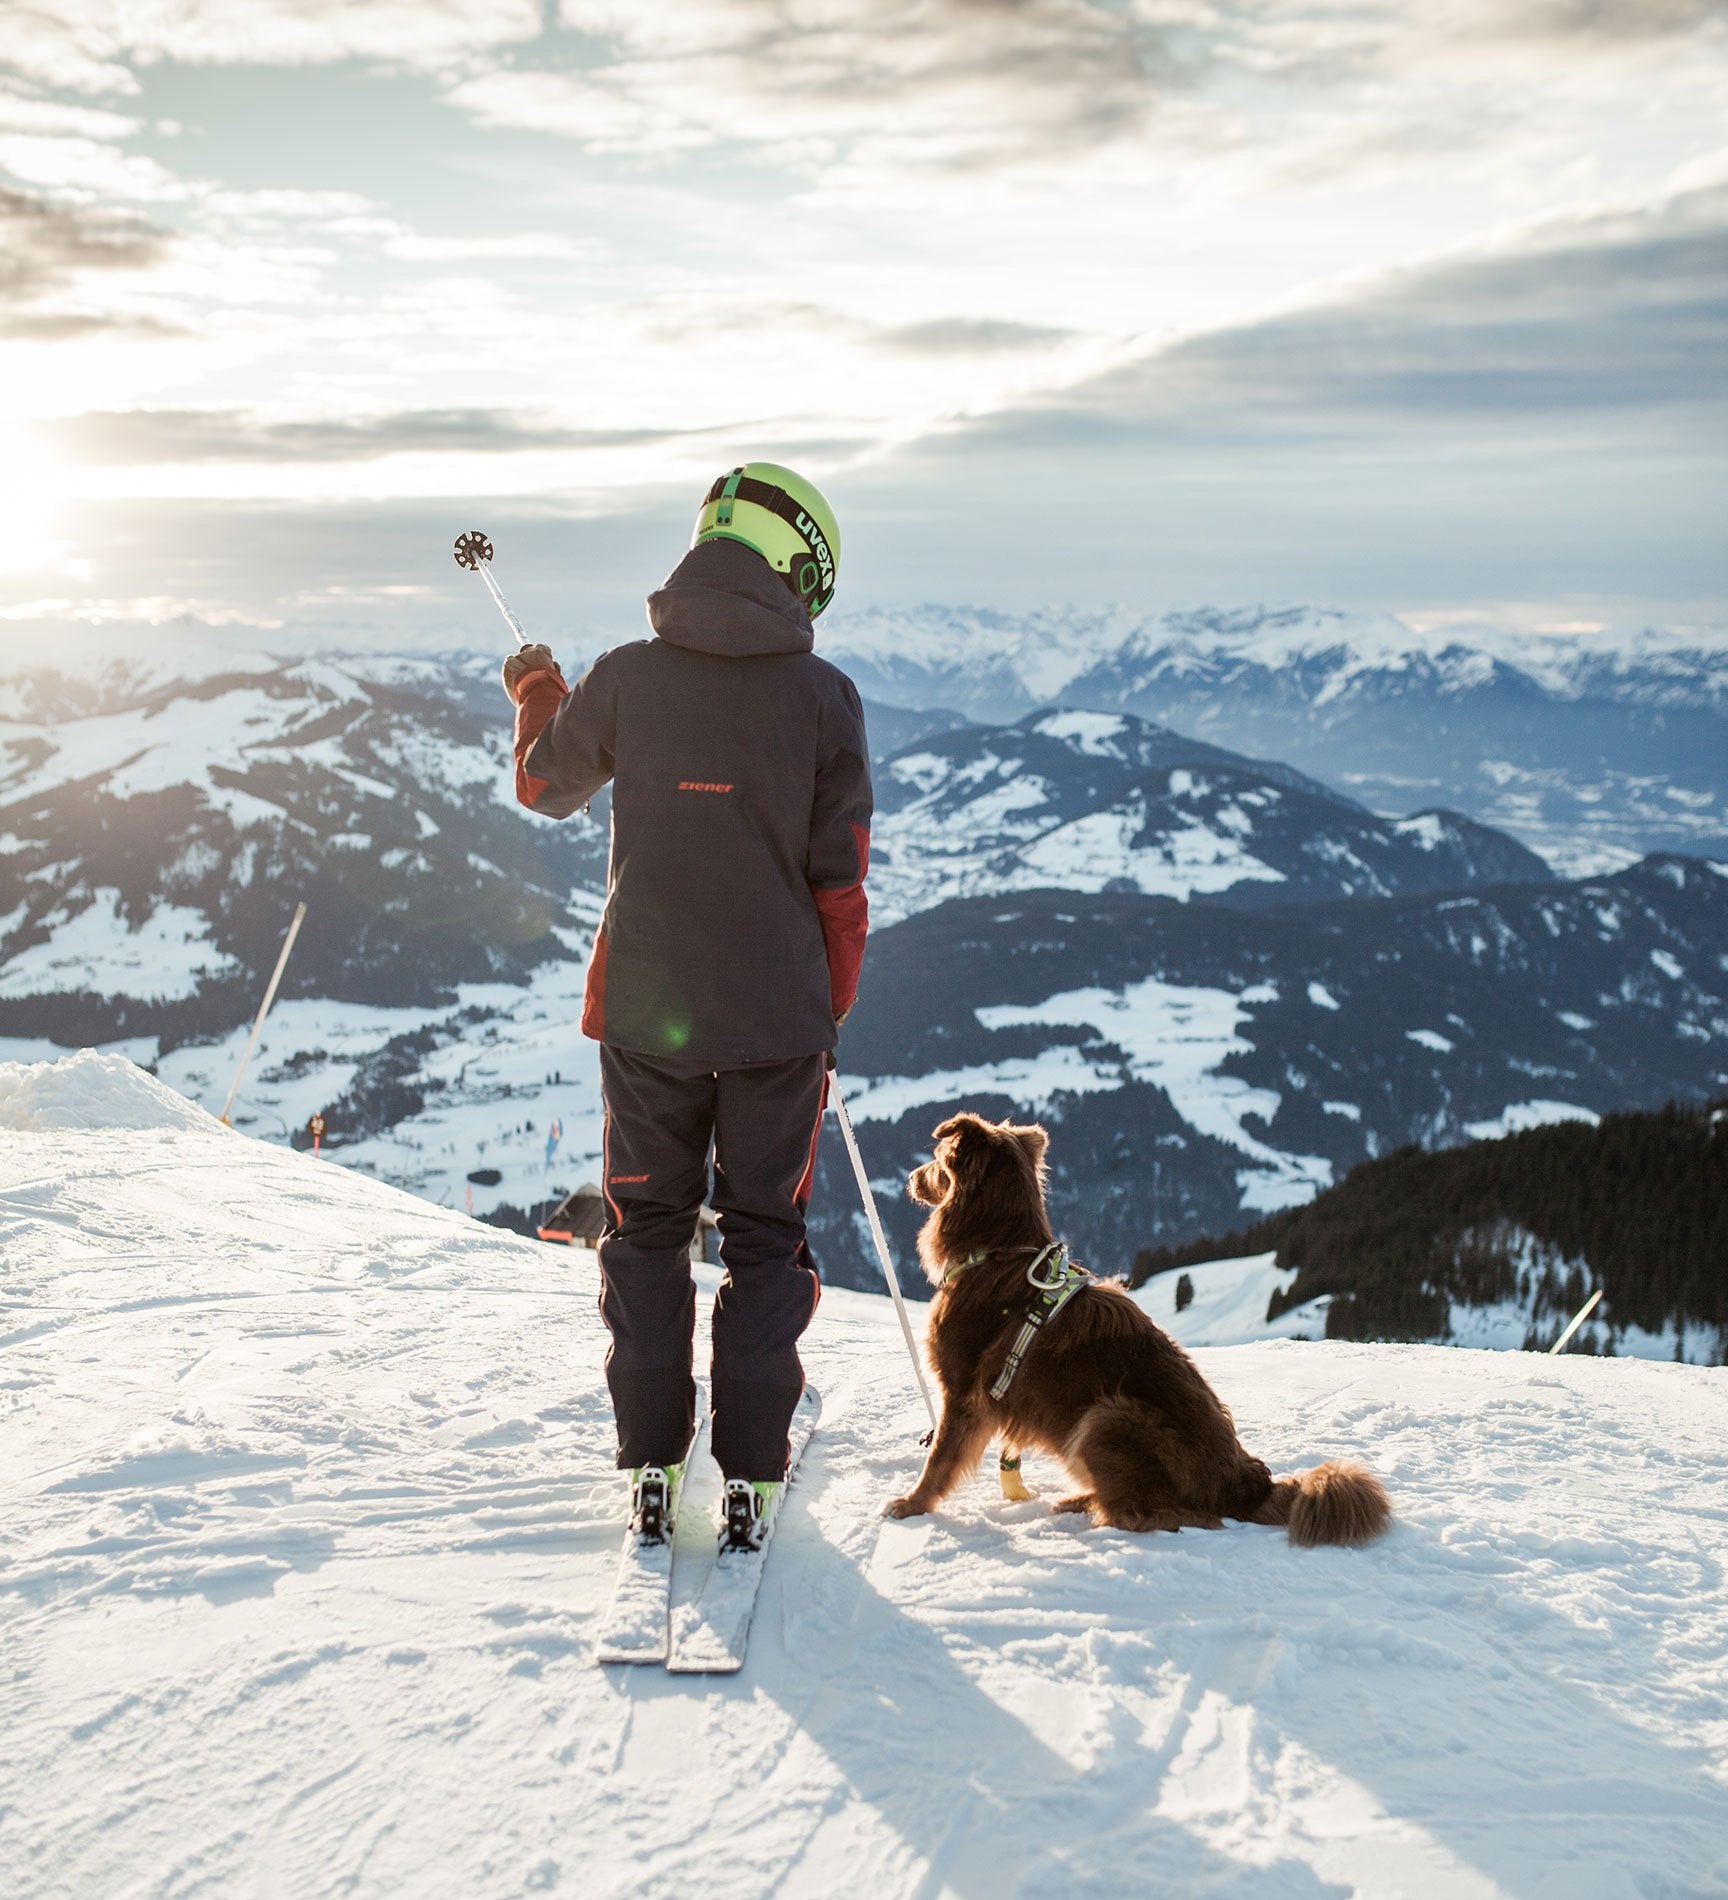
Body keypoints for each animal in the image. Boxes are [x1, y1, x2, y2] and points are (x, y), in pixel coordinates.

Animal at [882, 1109, 1399, 1542]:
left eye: (935, 1161)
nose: (909, 1177)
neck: (999, 1250)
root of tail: (1244, 1484)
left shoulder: (963, 1393)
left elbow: (939, 1458)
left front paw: (911, 1505)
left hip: (1105, 1418)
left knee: (1163, 1516)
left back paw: (1092, 1511)